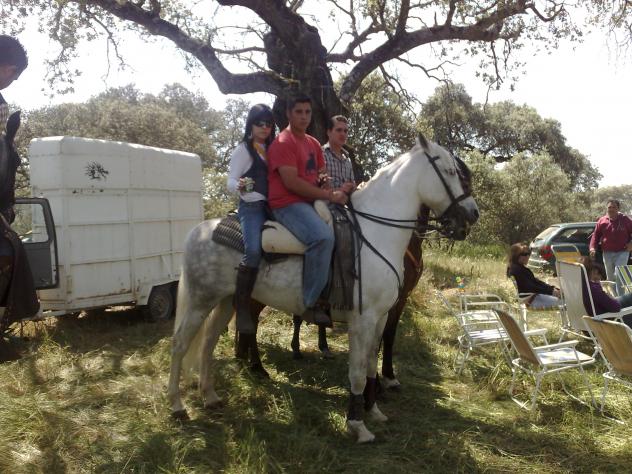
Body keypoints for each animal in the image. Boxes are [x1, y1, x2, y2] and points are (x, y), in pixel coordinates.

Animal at [167, 134, 479, 443]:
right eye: (451, 172)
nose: (472, 215)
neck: (373, 234)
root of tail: (200, 230)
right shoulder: (362, 321)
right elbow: (356, 372)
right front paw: (357, 424)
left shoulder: (379, 318)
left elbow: (371, 363)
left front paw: (374, 409)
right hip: (200, 300)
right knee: (181, 343)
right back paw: (178, 405)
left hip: (225, 300)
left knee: (207, 343)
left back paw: (210, 396)